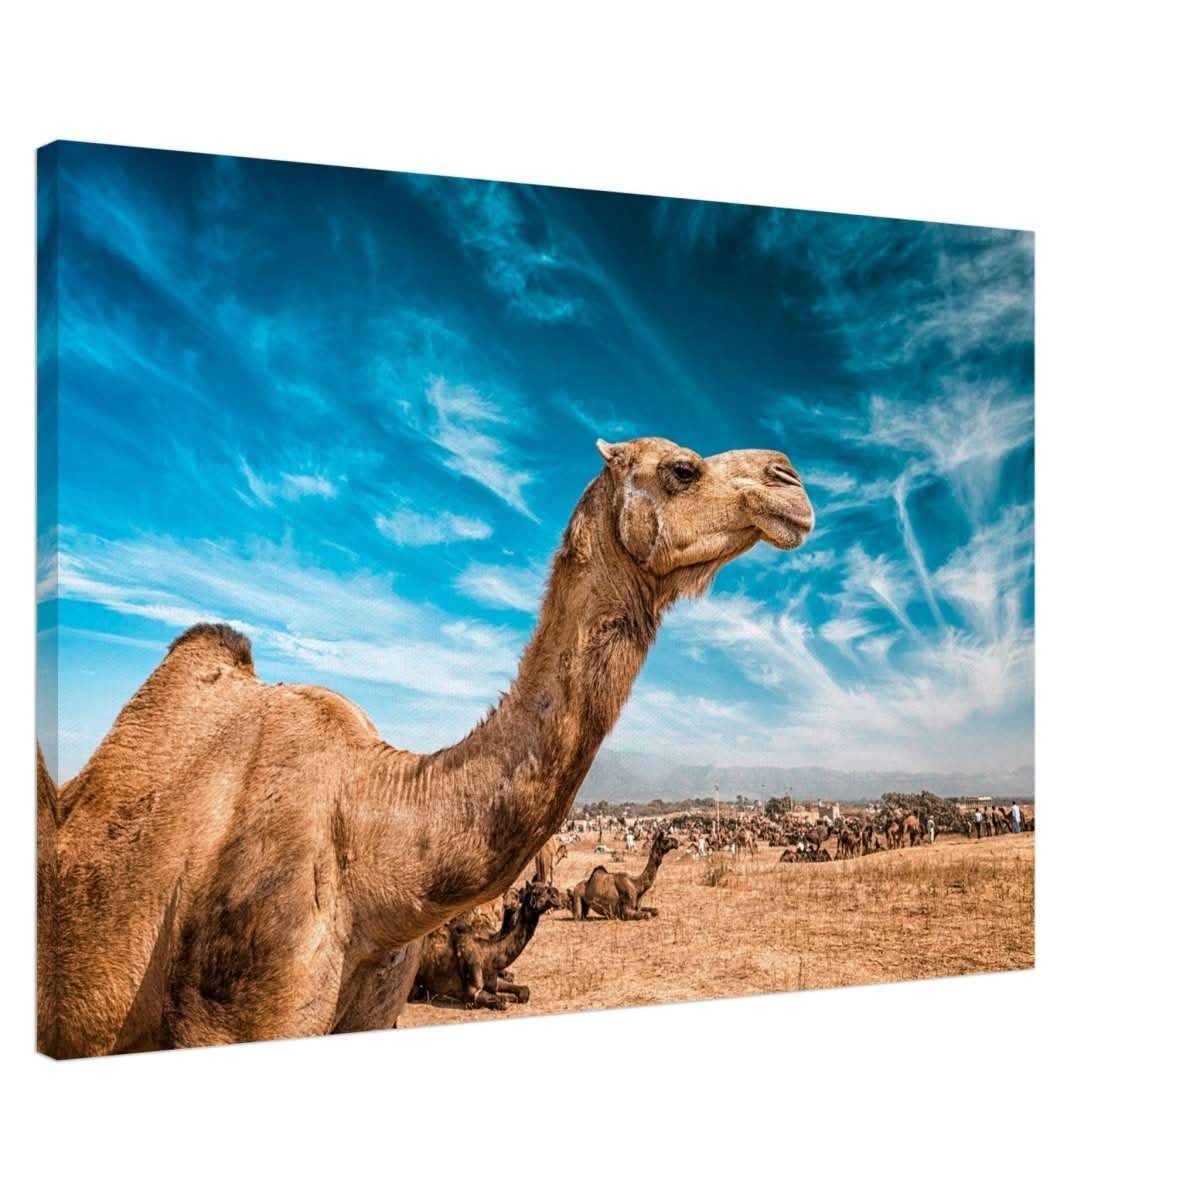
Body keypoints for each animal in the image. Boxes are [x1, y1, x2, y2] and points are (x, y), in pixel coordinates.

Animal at [409, 879, 562, 1009]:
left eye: (548, 887)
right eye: (537, 892)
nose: (556, 896)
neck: (489, 954)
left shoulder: (493, 980)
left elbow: (524, 991)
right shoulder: (472, 992)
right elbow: (502, 1001)